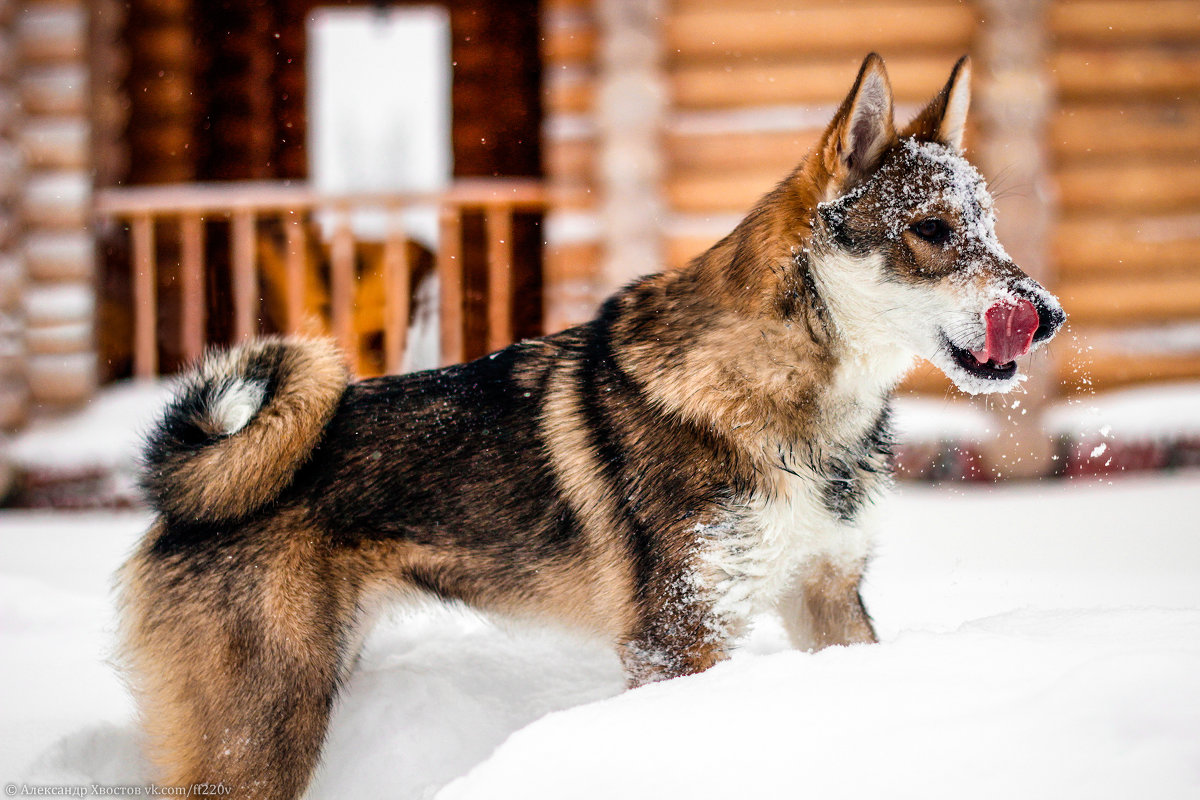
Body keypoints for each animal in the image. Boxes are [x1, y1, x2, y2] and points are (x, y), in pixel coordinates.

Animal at [117, 53, 1065, 796]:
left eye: (989, 229)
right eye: (932, 231)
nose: (1050, 315)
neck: (797, 417)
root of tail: (182, 491)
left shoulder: (829, 595)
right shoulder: (676, 640)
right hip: (265, 733)